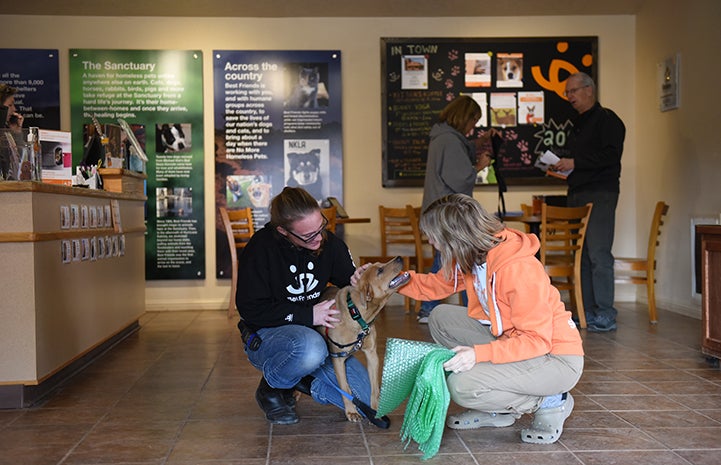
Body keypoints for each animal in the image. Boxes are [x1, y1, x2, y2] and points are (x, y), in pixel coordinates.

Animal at [318, 256, 408, 422]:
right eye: (380, 270)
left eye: (380, 265)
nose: (399, 257)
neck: (357, 315)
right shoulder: (337, 359)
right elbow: (345, 388)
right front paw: (351, 411)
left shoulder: (372, 355)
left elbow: (374, 387)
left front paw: (375, 410)